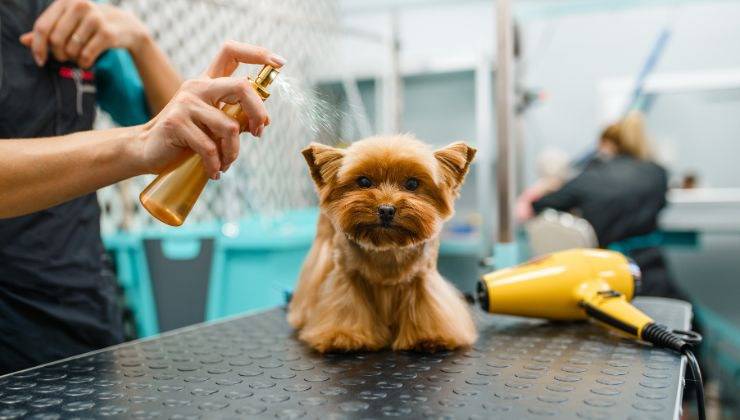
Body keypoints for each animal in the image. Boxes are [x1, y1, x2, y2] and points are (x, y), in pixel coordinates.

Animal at [286, 134, 476, 352]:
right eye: (364, 181)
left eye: (412, 184)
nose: (386, 209)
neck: (387, 245)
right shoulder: (347, 275)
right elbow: (347, 307)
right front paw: (343, 336)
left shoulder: (422, 276)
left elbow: (426, 306)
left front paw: (429, 337)